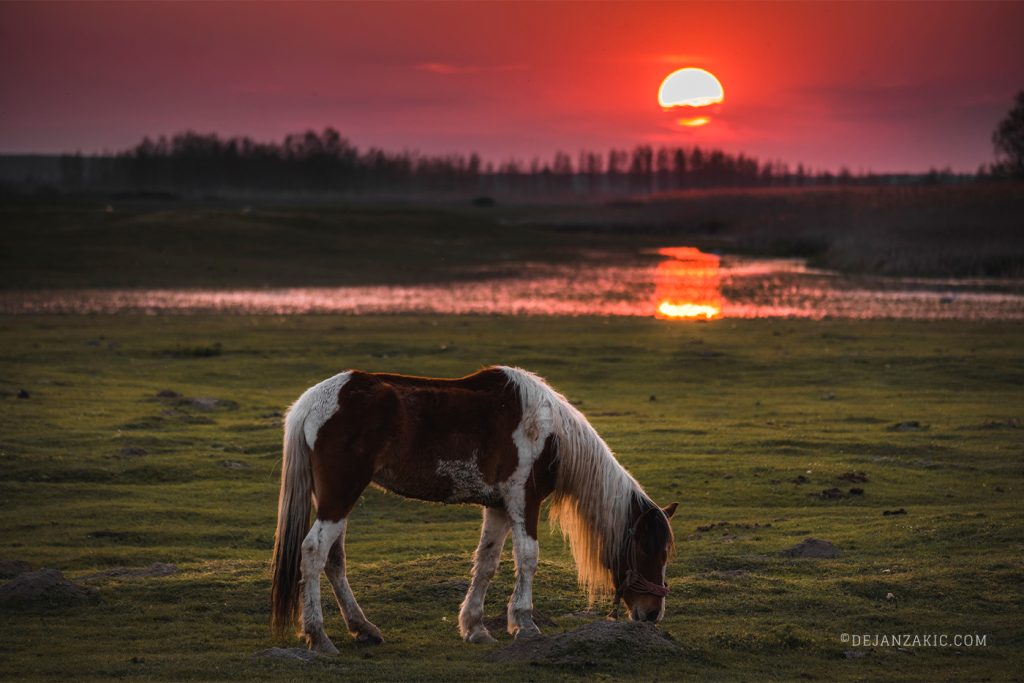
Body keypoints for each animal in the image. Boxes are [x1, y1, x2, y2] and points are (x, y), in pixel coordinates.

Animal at [270, 366, 677, 653]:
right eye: (648, 550)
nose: (652, 614)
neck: (550, 434)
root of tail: (312, 402)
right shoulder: (523, 499)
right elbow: (527, 557)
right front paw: (524, 624)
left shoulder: (498, 507)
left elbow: (487, 562)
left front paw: (476, 628)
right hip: (340, 495)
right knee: (314, 552)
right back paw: (319, 636)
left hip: (335, 498)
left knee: (334, 559)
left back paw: (363, 628)